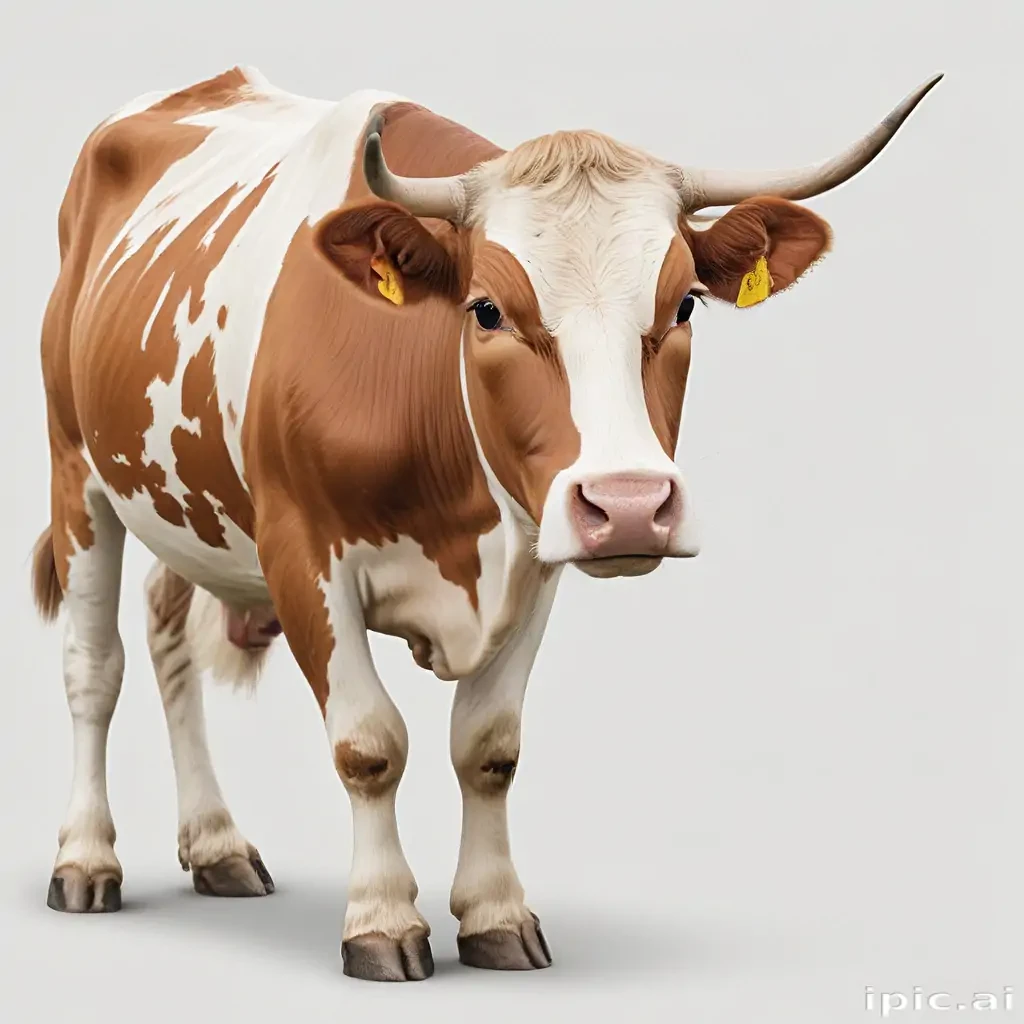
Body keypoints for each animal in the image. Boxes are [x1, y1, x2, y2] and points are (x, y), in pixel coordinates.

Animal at [31, 66, 940, 981]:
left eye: (685, 304)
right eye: (487, 310)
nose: (629, 503)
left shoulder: (534, 559)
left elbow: (488, 747)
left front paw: (495, 914)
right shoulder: (302, 552)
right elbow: (369, 744)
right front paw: (382, 919)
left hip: (185, 507)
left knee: (166, 634)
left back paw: (216, 844)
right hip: (79, 476)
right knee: (93, 669)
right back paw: (86, 858)